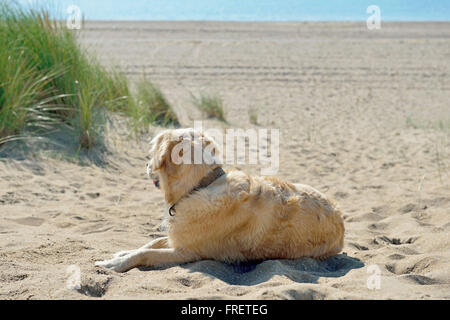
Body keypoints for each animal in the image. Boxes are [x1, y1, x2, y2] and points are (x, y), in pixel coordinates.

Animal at [93, 127, 342, 272]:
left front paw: (114, 263)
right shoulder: (180, 236)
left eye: (153, 150)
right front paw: (121, 254)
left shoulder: (187, 252)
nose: (145, 165)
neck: (200, 185)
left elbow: (147, 252)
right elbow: (150, 243)